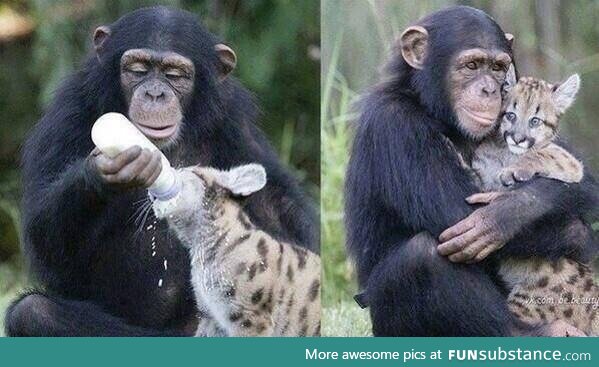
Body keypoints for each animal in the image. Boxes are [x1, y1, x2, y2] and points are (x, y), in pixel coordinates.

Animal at [5, 6, 318, 340]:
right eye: (138, 69)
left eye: (174, 74)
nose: (155, 94)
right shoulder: (66, 113)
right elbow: (47, 247)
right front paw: (101, 170)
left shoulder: (235, 119)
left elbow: (277, 207)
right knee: (33, 311)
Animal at [344, 5, 596, 338]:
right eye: (472, 65)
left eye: (498, 67)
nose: (489, 89)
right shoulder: (393, 123)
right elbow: (455, 210)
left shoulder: (559, 156)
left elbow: (581, 177)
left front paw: (507, 212)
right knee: (421, 254)